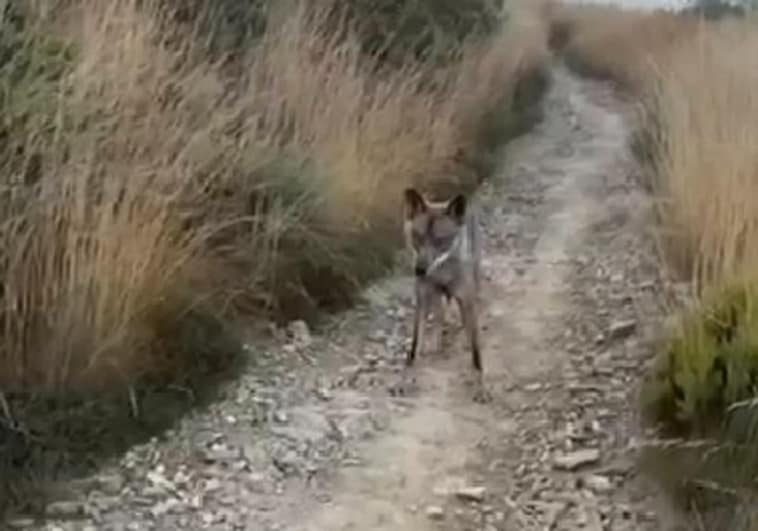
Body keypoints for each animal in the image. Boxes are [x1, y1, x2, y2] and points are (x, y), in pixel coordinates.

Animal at [404, 187, 486, 400]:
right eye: (417, 236)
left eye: (440, 240)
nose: (419, 270)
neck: (441, 273)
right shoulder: (422, 299)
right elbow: (414, 348)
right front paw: (405, 382)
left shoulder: (467, 300)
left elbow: (476, 354)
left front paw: (480, 387)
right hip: (434, 297)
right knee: (440, 314)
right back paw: (436, 343)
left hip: (474, 282)